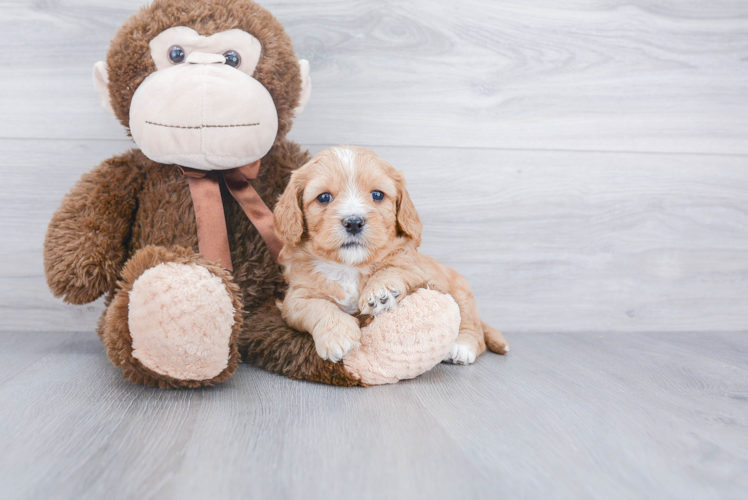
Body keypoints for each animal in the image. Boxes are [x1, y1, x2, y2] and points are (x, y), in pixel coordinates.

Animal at [274, 145, 508, 364]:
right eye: (324, 197)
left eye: (377, 194)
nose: (354, 222)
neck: (350, 266)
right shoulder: (295, 297)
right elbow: (317, 306)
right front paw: (337, 337)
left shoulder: (416, 269)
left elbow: (394, 268)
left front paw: (380, 290)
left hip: (462, 292)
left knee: (474, 329)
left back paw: (463, 347)